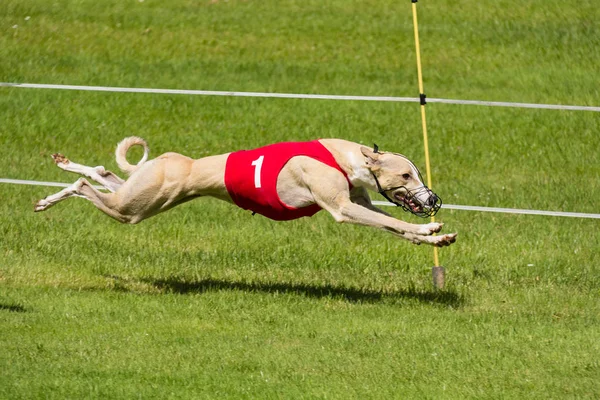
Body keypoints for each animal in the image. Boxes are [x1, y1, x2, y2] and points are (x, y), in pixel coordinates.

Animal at [35, 138, 458, 247]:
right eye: (406, 174)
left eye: (416, 172)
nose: (432, 201)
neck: (346, 157)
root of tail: (174, 160)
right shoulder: (340, 207)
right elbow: (389, 222)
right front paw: (428, 229)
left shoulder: (358, 201)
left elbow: (391, 223)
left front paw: (436, 236)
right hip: (133, 209)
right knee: (85, 186)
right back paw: (50, 197)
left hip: (142, 194)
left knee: (102, 172)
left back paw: (65, 167)